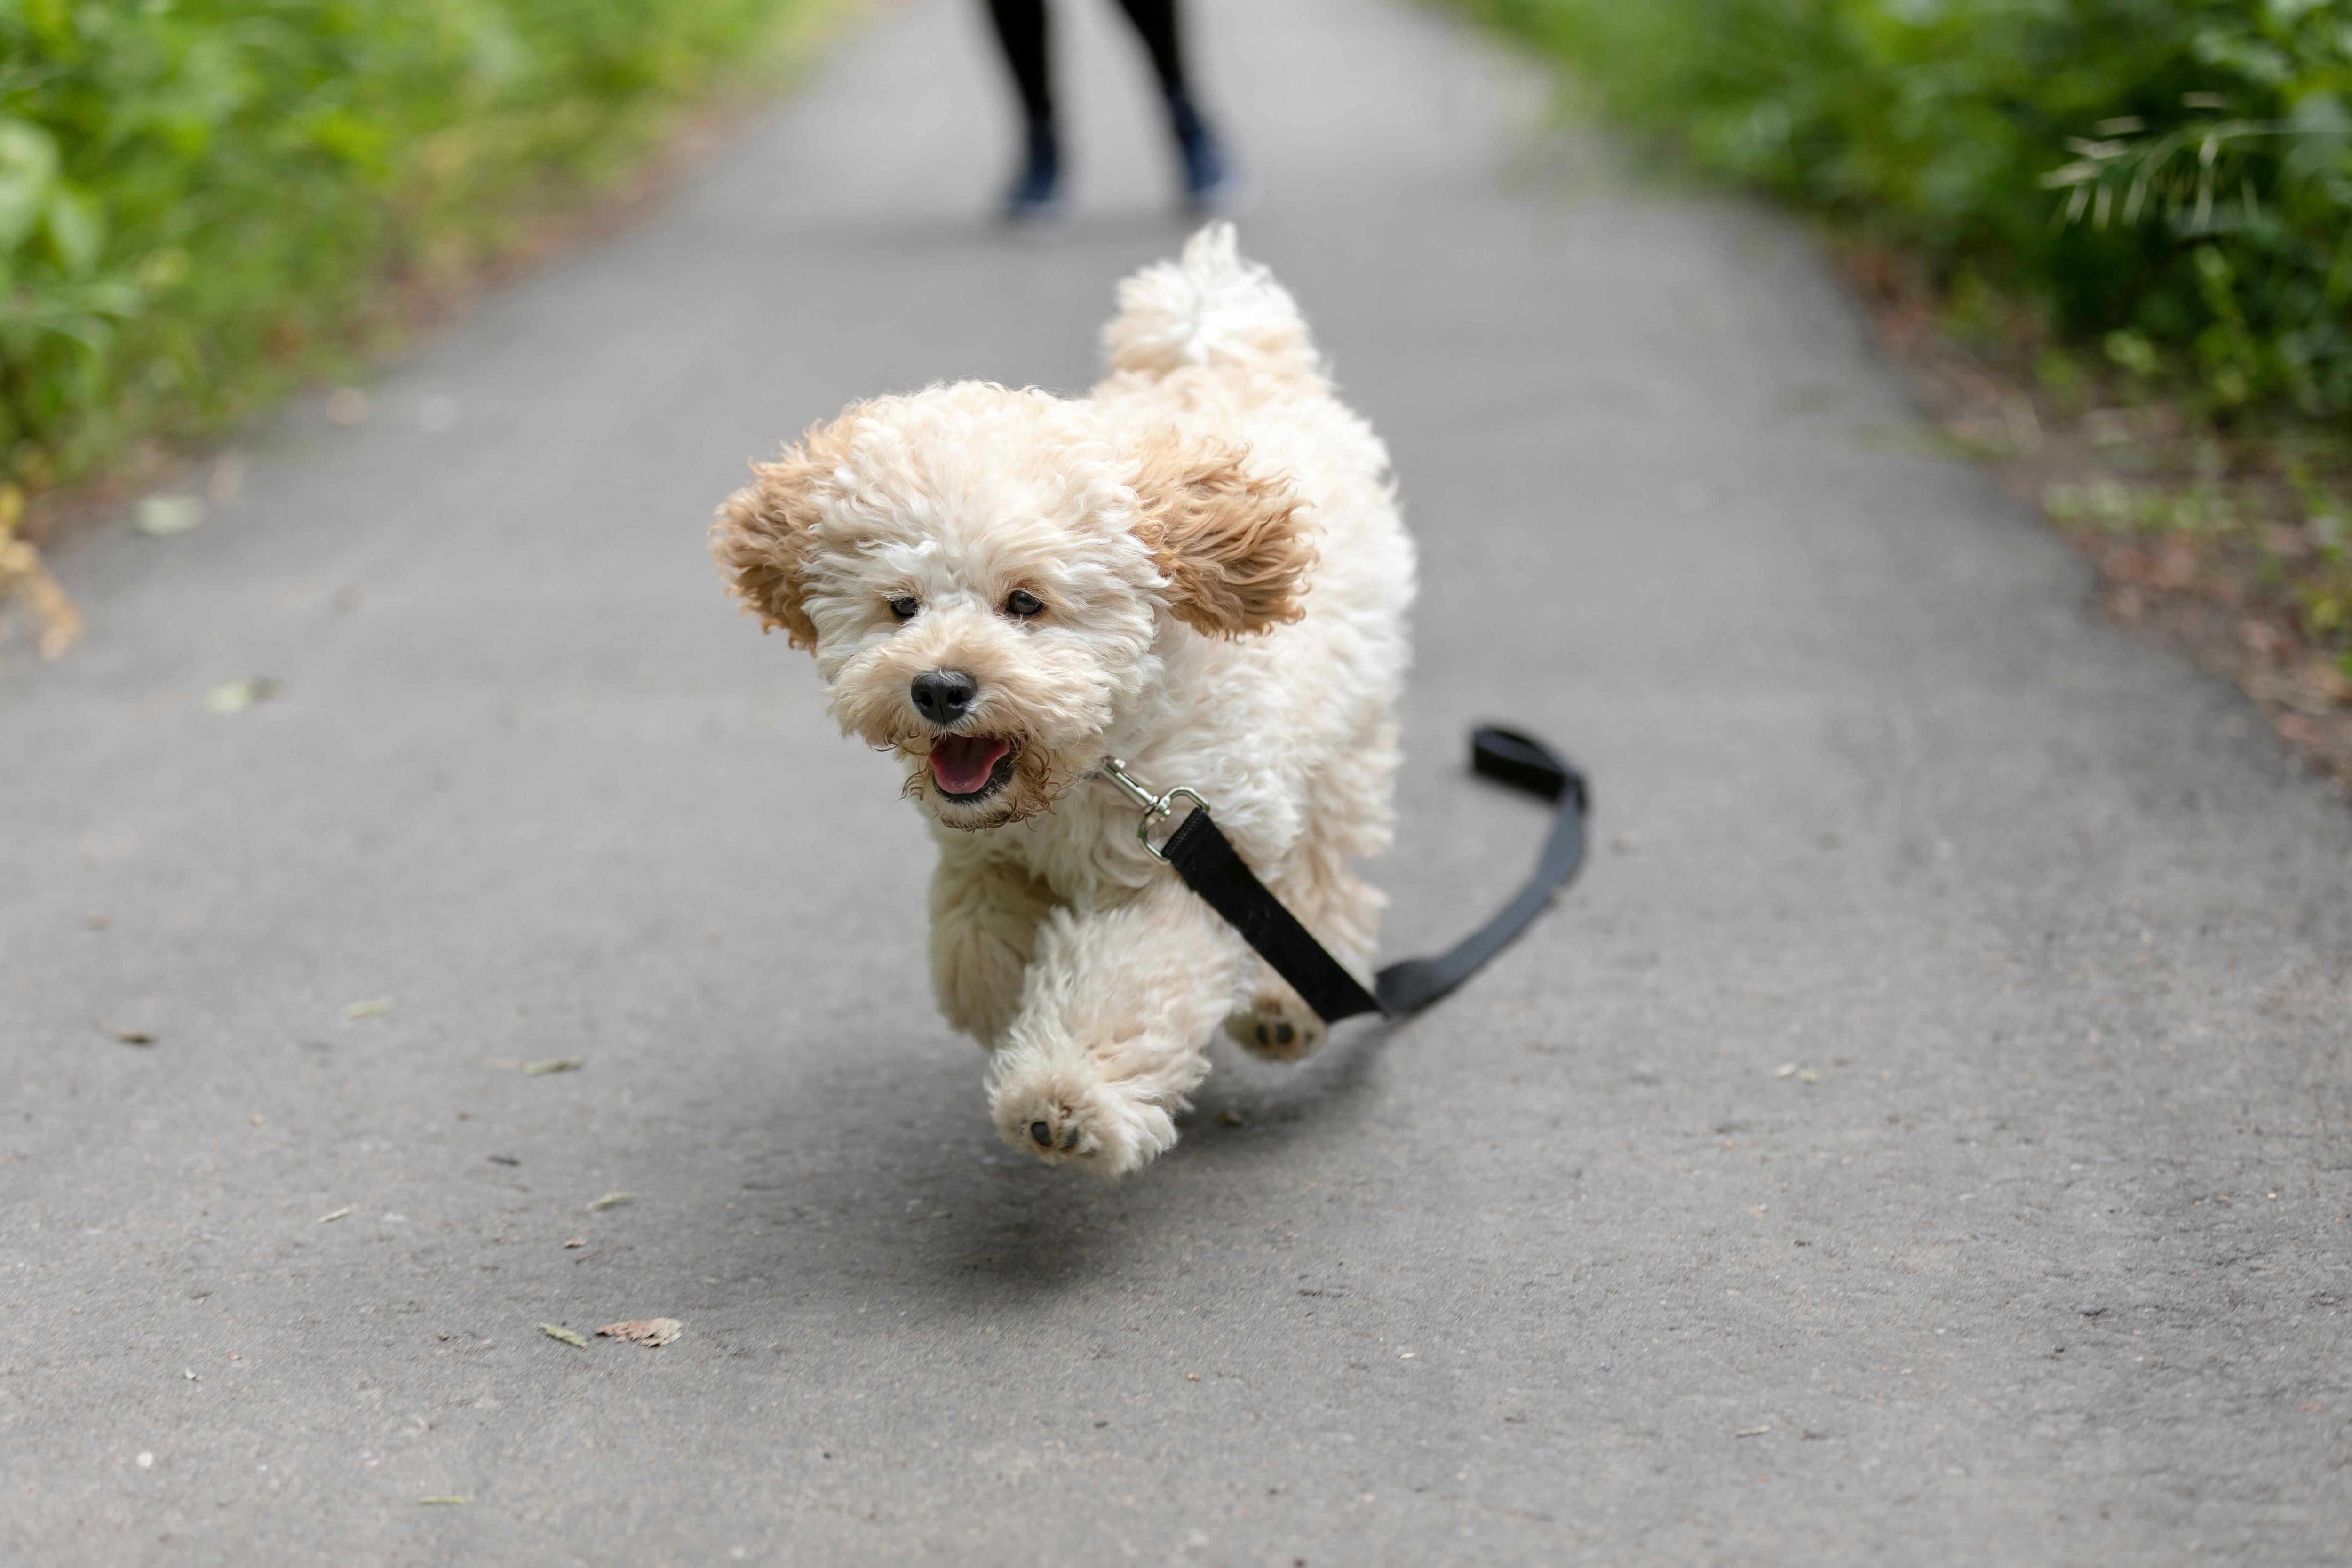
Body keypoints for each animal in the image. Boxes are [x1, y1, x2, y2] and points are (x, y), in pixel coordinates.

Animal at [710, 223, 1411, 1175]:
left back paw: (1285, 1003)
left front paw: (1064, 1097)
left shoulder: (1190, 855)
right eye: (901, 606)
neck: (1093, 762)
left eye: (1026, 602)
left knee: (1324, 872)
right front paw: (1007, 1001)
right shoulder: (986, 850)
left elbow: (1127, 984)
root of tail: (1214, 342)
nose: (940, 686)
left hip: (1343, 736)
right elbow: (973, 941)